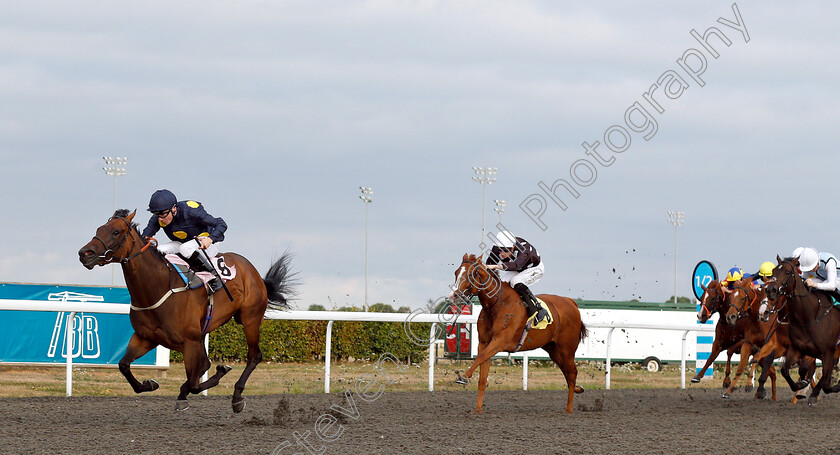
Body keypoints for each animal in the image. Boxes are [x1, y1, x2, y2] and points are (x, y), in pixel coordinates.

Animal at [78, 210, 296, 414]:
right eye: (99, 229)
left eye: (116, 232)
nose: (84, 253)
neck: (158, 287)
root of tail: (253, 271)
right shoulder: (146, 337)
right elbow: (124, 365)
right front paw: (150, 384)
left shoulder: (188, 341)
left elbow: (193, 383)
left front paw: (207, 380)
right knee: (206, 364)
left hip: (250, 319)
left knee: (254, 356)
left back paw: (237, 397)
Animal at [452, 255, 584, 416]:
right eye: (456, 272)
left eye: (470, 274)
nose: (455, 295)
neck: (498, 303)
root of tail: (572, 303)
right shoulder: (484, 343)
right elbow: (482, 375)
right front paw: (477, 409)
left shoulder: (499, 341)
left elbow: (480, 357)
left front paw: (464, 377)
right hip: (553, 349)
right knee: (568, 372)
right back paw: (578, 389)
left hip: (567, 348)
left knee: (571, 373)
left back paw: (569, 409)